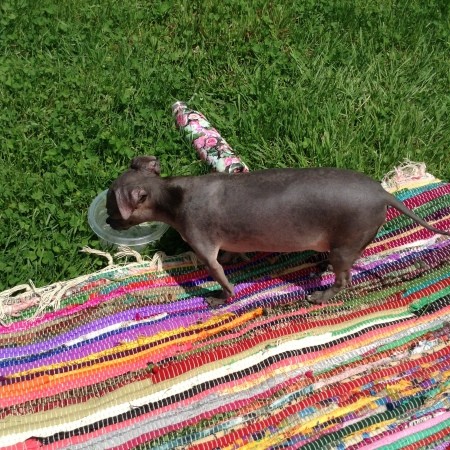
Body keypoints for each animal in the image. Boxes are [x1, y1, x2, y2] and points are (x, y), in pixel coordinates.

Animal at [106, 156, 450, 308]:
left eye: (111, 207)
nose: (108, 222)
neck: (173, 196)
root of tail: (383, 193)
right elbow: (229, 253)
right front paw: (235, 258)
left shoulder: (202, 244)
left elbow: (221, 277)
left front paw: (220, 298)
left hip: (347, 240)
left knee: (344, 279)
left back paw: (322, 293)